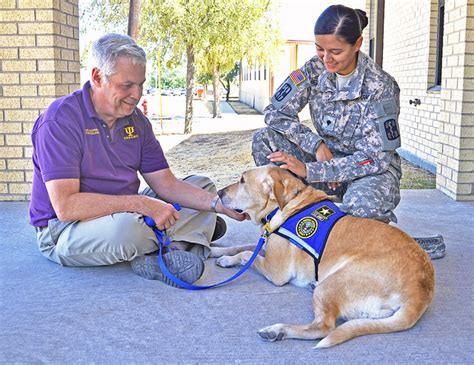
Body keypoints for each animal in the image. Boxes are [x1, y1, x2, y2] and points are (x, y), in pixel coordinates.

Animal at [213, 165, 436, 346]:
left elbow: (247, 253)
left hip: (332, 284)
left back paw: (277, 330)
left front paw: (228, 259)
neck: (286, 204)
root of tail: (420, 291)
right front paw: (217, 252)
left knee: (323, 327)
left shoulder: (275, 271)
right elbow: (244, 246)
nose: (218, 192)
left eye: (242, 180)